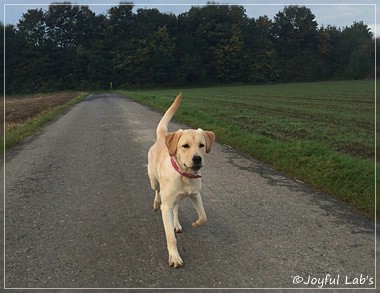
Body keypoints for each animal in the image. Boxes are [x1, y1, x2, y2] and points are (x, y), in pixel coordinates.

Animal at [148, 92, 215, 266]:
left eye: (202, 145)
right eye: (185, 146)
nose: (197, 159)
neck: (184, 176)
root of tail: (162, 137)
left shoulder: (195, 195)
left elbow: (203, 216)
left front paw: (196, 223)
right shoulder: (166, 206)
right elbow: (170, 237)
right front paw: (174, 256)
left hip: (178, 197)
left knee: (176, 208)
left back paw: (176, 223)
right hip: (153, 180)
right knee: (157, 191)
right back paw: (156, 203)